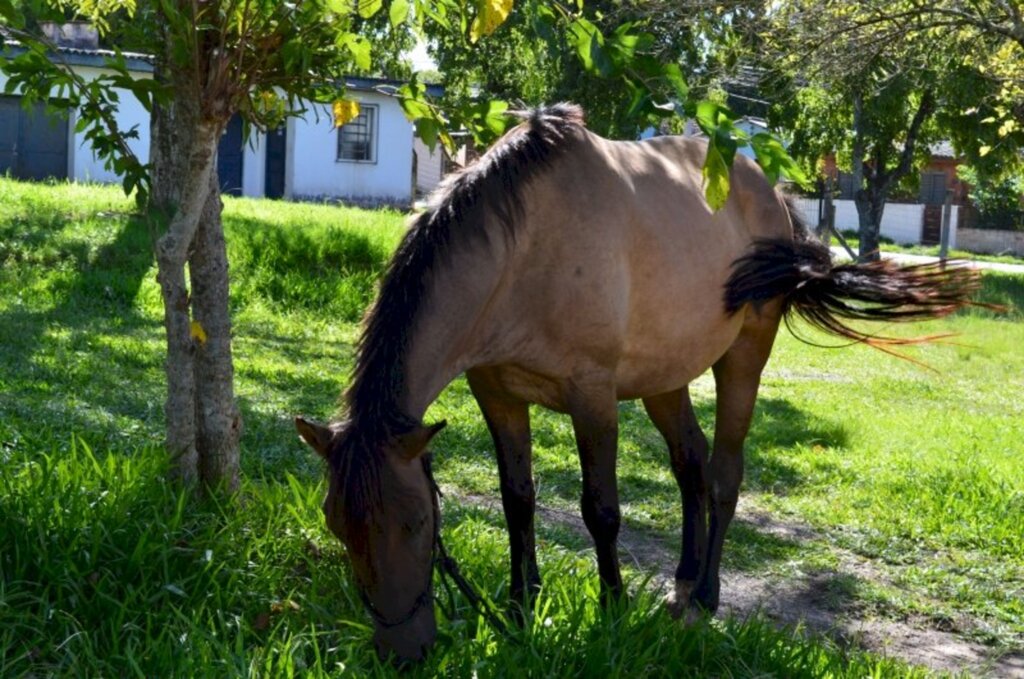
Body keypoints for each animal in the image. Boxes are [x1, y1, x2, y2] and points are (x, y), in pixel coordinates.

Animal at [294, 103, 974, 659]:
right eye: (336, 523)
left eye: (416, 522)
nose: (402, 652)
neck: (523, 250)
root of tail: (771, 191)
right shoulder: (497, 393)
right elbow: (518, 499)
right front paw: (520, 606)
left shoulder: (592, 397)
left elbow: (601, 510)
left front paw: (612, 610)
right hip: (663, 380)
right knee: (690, 464)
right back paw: (680, 583)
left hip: (743, 358)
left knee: (724, 474)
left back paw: (705, 594)